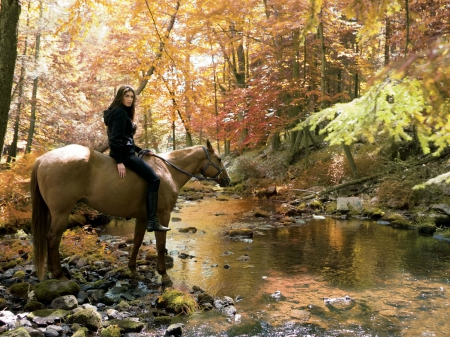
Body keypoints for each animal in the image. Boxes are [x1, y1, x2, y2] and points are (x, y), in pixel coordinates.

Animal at [29, 139, 230, 284]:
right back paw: (59, 275)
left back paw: (51, 272)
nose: (228, 180)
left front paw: (133, 270)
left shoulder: (143, 217)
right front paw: (164, 275)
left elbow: (137, 242)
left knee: (49, 238)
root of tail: (43, 159)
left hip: (53, 212)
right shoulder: (163, 215)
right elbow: (160, 244)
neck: (168, 170)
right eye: (219, 159)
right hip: (61, 212)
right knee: (53, 238)